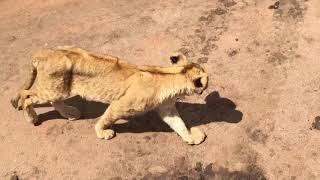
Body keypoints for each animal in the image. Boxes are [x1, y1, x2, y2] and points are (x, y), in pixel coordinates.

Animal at [11, 46, 209, 145]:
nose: (208, 84)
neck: (171, 75)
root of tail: (42, 53)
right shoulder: (120, 105)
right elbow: (105, 118)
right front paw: (102, 132)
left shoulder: (167, 108)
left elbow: (179, 125)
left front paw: (191, 137)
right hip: (54, 88)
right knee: (25, 95)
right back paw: (32, 118)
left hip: (59, 87)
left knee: (51, 100)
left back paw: (70, 113)